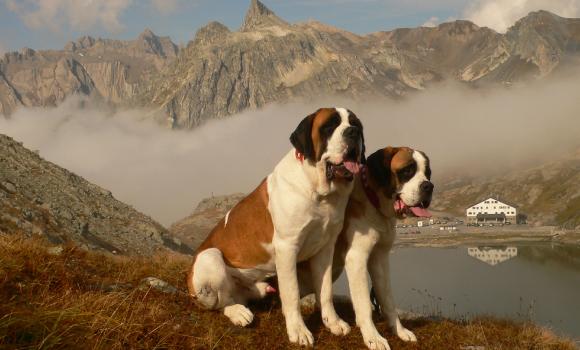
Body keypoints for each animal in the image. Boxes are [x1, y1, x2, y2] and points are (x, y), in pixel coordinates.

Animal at [188, 107, 364, 348]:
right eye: (329, 126)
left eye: (356, 124)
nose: (353, 132)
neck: (319, 192)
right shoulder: (287, 248)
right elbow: (291, 293)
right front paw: (298, 331)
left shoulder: (326, 248)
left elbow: (325, 289)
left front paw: (333, 322)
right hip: (210, 257)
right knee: (222, 301)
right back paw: (237, 312)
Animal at [302, 146, 432, 348]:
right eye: (407, 170)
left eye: (428, 173)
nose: (428, 186)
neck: (374, 202)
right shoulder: (357, 259)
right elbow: (364, 304)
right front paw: (373, 337)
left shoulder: (380, 259)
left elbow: (387, 299)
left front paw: (400, 331)